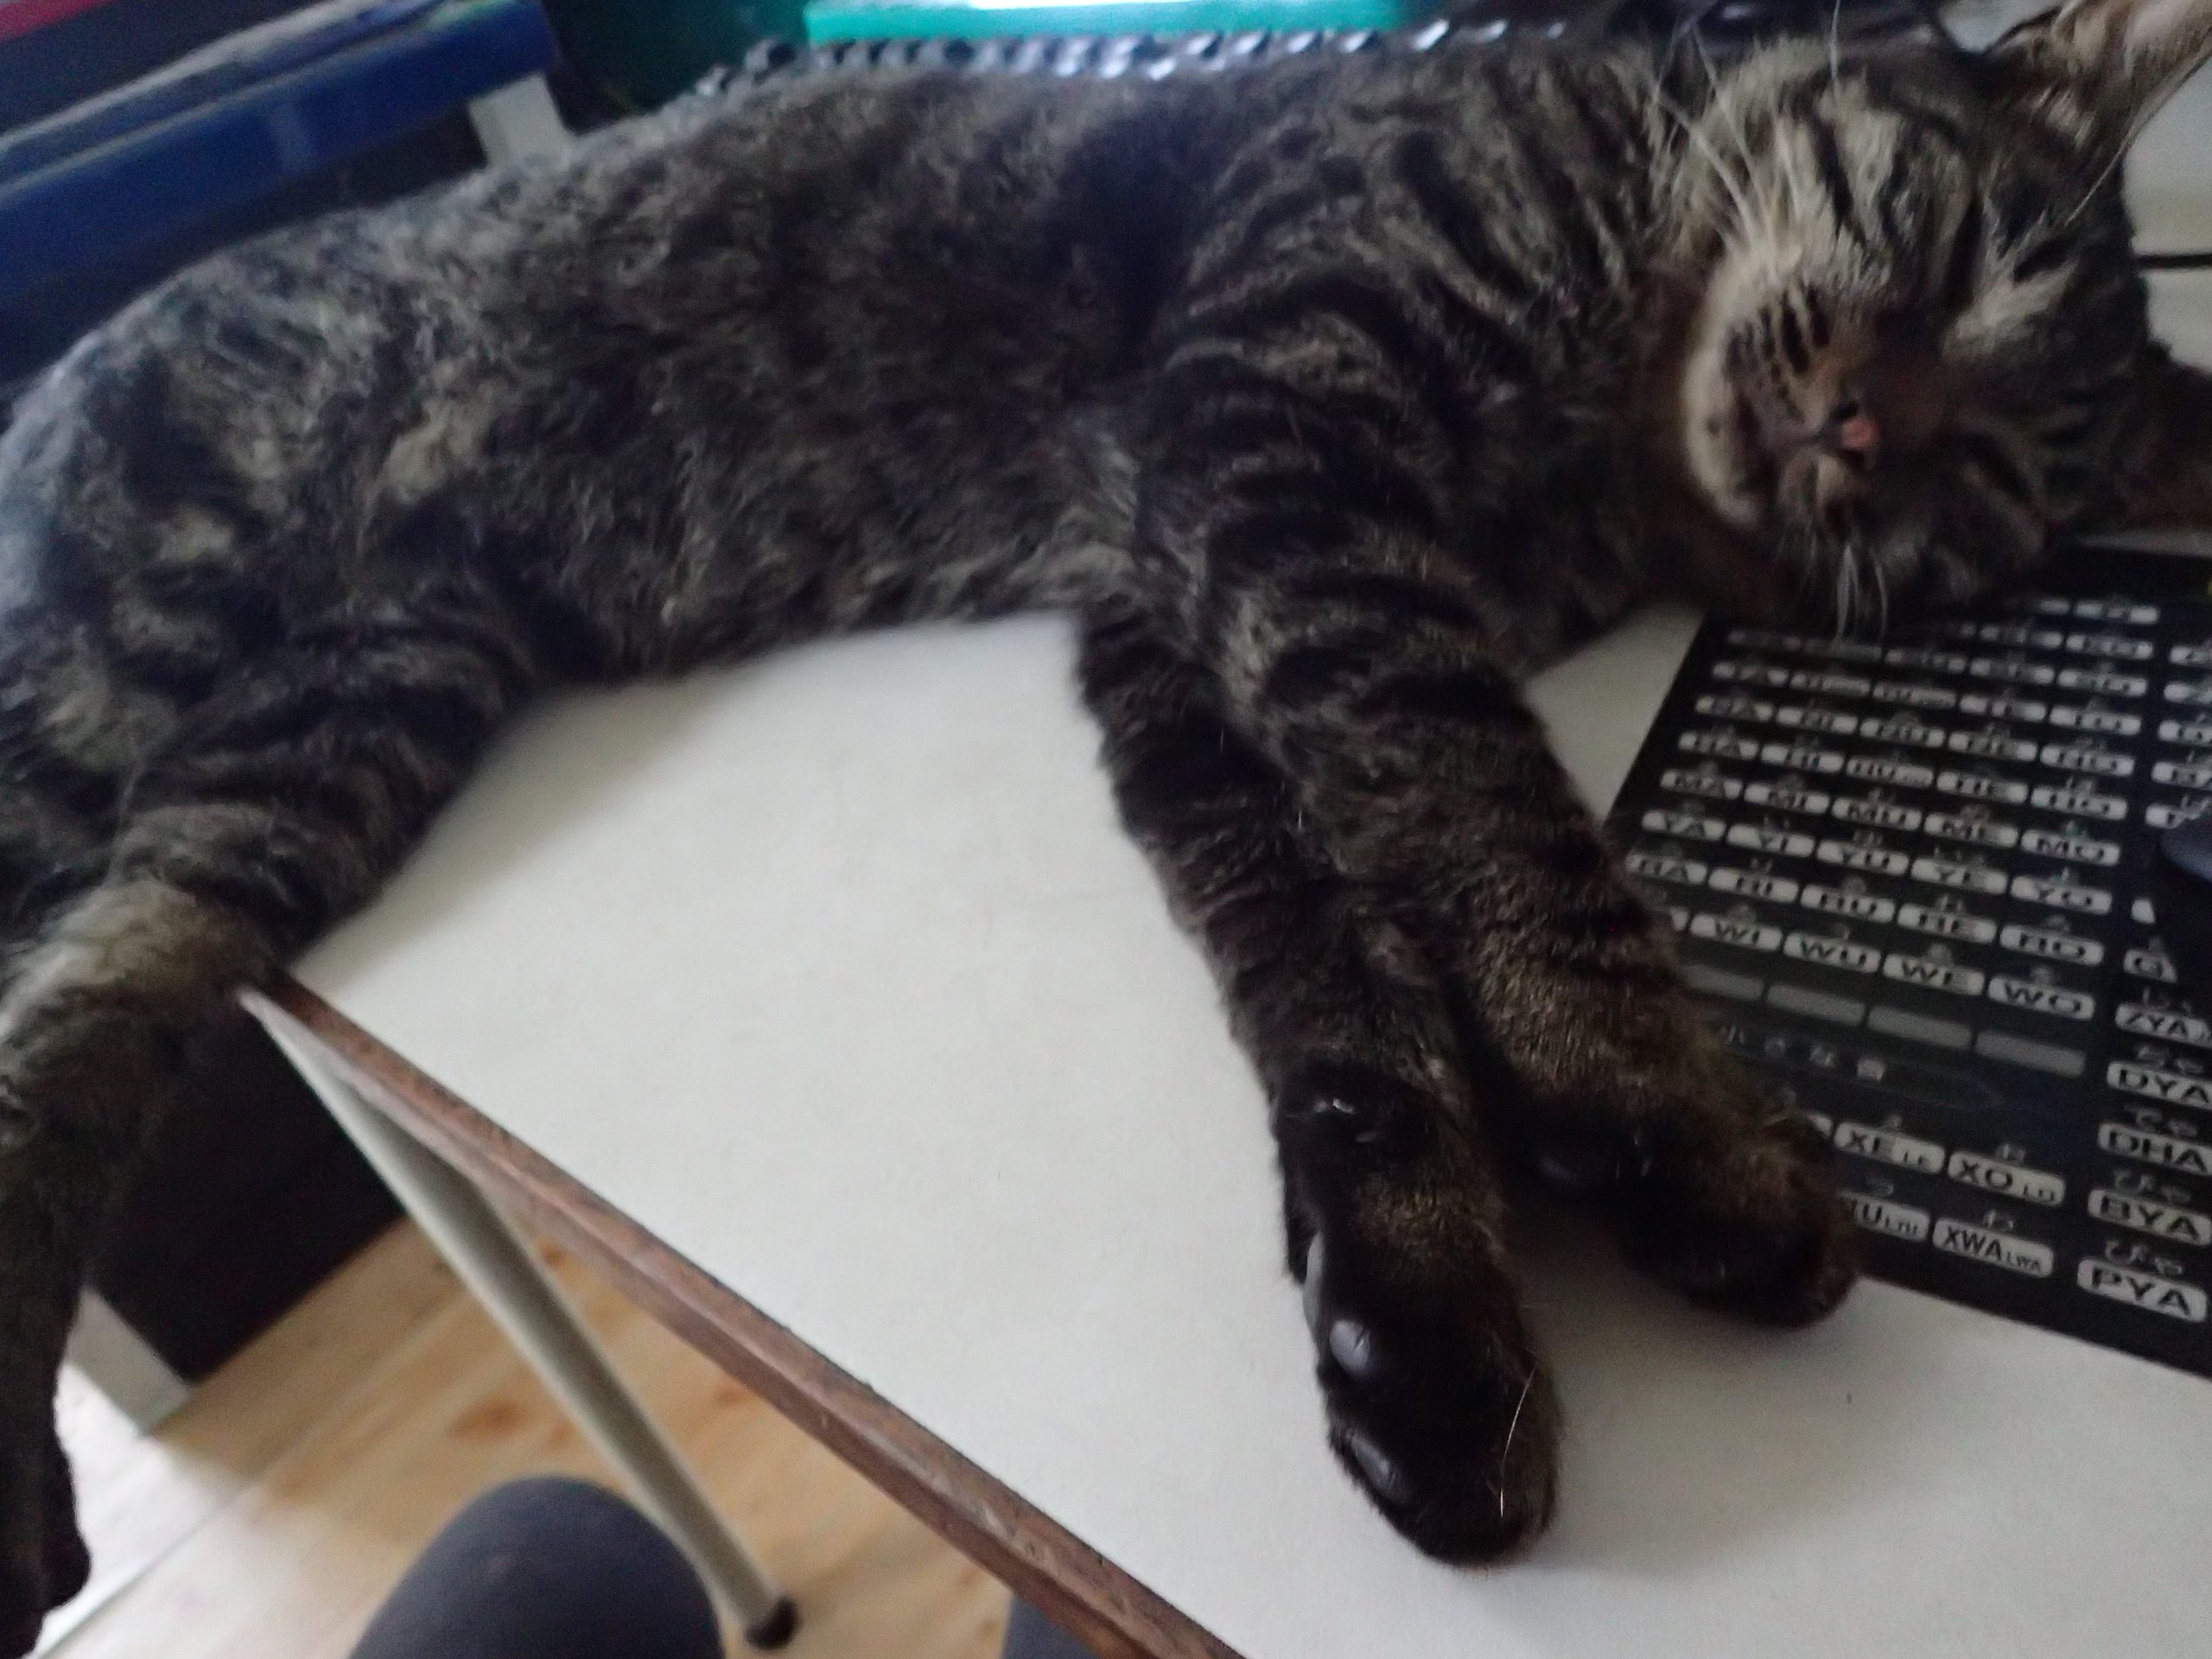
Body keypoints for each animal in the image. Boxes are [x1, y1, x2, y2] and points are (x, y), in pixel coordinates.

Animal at [5, 0, 2212, 1645]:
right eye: (1944, 248)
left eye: (1986, 471)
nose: (1857, 430)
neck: (1609, 437)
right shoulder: (1272, 439)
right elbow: (1481, 813)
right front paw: (1659, 1110)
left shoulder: (1187, 632)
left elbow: (1327, 970)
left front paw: (1415, 1317)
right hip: (114, 649)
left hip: (331, 730)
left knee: (80, 1015)